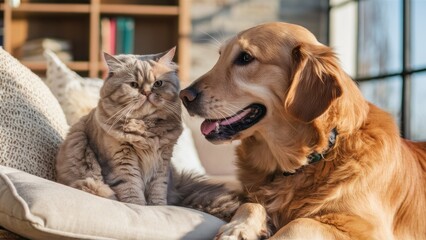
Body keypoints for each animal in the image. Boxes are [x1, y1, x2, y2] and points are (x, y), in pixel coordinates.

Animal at [179, 21, 426, 239]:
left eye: (246, 58)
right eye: (220, 56)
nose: (184, 95)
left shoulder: (369, 229)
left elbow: (300, 222)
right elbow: (250, 204)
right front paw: (237, 228)